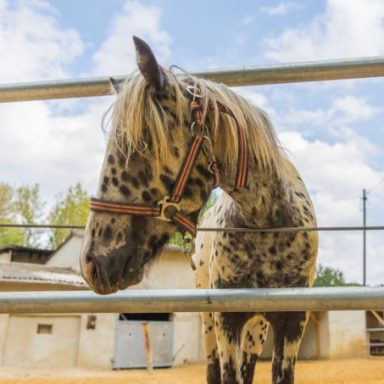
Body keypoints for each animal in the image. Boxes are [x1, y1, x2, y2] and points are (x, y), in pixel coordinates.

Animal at [80, 36, 318, 384]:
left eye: (141, 146)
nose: (91, 264)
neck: (267, 222)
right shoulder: (225, 319)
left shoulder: (293, 321)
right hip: (210, 323)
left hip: (257, 327)